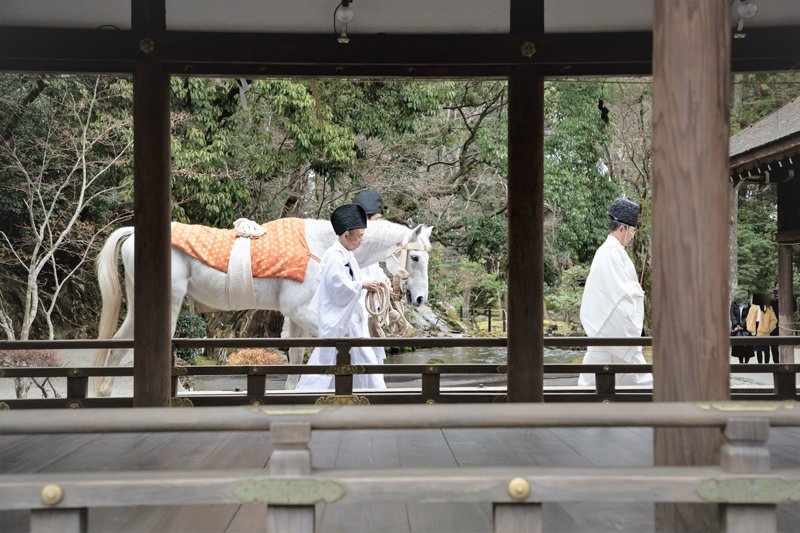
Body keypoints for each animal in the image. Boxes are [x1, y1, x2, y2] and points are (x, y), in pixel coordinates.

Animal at [92, 216, 432, 394]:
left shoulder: (295, 316)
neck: (320, 245)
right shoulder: (301, 310)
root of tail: (134, 233)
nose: (419, 298)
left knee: (119, 347)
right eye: (415, 257)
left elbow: (295, 355)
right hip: (170, 301)